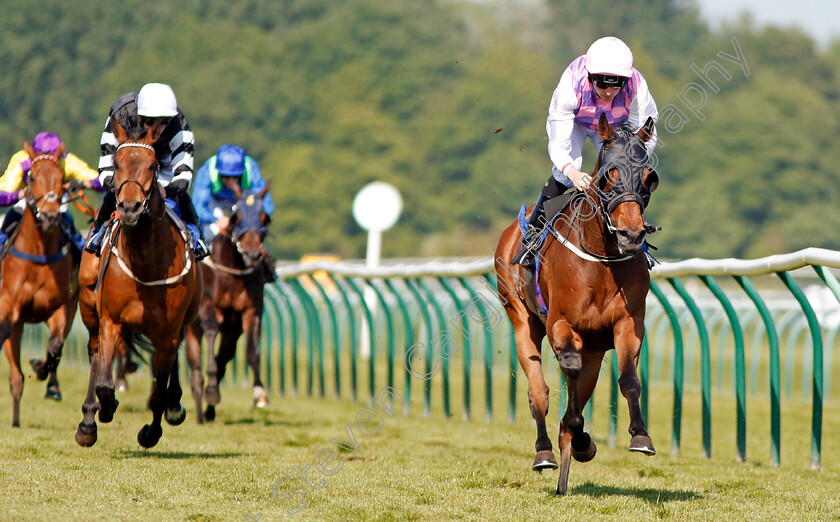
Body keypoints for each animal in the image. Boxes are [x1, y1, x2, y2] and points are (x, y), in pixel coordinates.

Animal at [0, 141, 79, 422]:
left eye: (61, 178)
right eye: (31, 177)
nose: (50, 217)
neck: (39, 255)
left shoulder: (62, 305)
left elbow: (55, 345)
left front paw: (40, 367)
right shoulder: (9, 308)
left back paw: (52, 386)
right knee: (16, 376)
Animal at [74, 120, 202, 444]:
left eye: (152, 165)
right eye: (117, 163)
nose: (129, 207)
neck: (146, 264)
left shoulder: (168, 333)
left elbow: (158, 392)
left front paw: (151, 431)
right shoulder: (111, 321)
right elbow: (104, 382)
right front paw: (104, 409)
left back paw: (174, 405)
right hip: (89, 310)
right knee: (94, 354)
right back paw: (89, 419)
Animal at [185, 185, 270, 420]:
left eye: (264, 217)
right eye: (236, 217)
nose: (252, 254)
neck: (233, 274)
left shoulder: (251, 311)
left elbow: (252, 352)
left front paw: (260, 394)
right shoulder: (208, 309)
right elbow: (211, 334)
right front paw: (212, 389)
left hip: (231, 332)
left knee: (224, 357)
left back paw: (208, 409)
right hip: (189, 327)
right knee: (193, 365)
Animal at [496, 112, 660, 492]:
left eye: (649, 176)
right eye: (609, 175)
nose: (632, 234)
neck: (601, 259)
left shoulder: (628, 323)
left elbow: (629, 378)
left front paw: (639, 436)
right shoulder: (560, 323)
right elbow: (568, 370)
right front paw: (572, 430)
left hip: (596, 348)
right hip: (521, 317)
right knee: (538, 391)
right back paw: (545, 452)